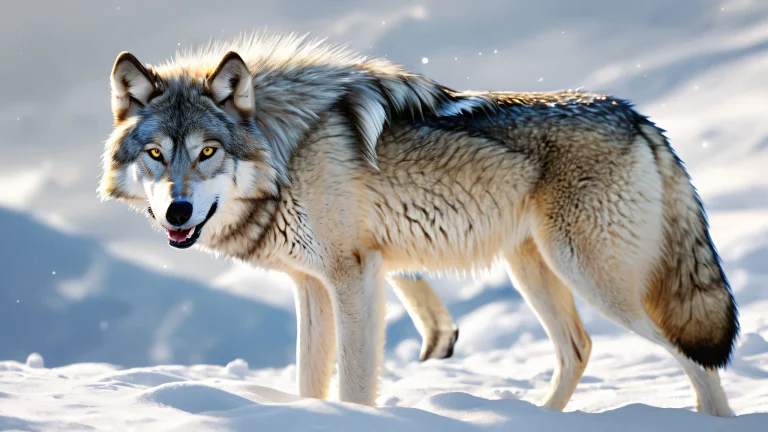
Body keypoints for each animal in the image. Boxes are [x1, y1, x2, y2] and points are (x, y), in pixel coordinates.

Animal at [99, 33, 738, 416]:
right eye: (156, 155)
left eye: (207, 152)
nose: (178, 211)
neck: (287, 151)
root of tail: (638, 117)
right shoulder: (310, 286)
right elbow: (310, 383)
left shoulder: (355, 277)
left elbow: (355, 385)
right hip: (534, 270)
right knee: (578, 349)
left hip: (595, 279)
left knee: (692, 357)